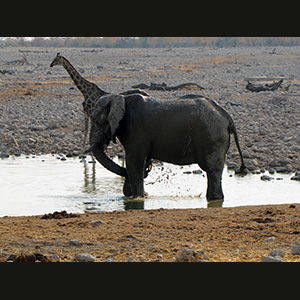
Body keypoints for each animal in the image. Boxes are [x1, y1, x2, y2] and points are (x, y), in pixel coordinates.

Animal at [84, 93, 246, 202]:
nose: (148, 170)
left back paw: (214, 199)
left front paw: (138, 197)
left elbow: (134, 162)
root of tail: (226, 116)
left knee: (212, 170)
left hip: (212, 136)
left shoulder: (136, 131)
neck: (121, 97)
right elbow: (138, 163)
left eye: (96, 121)